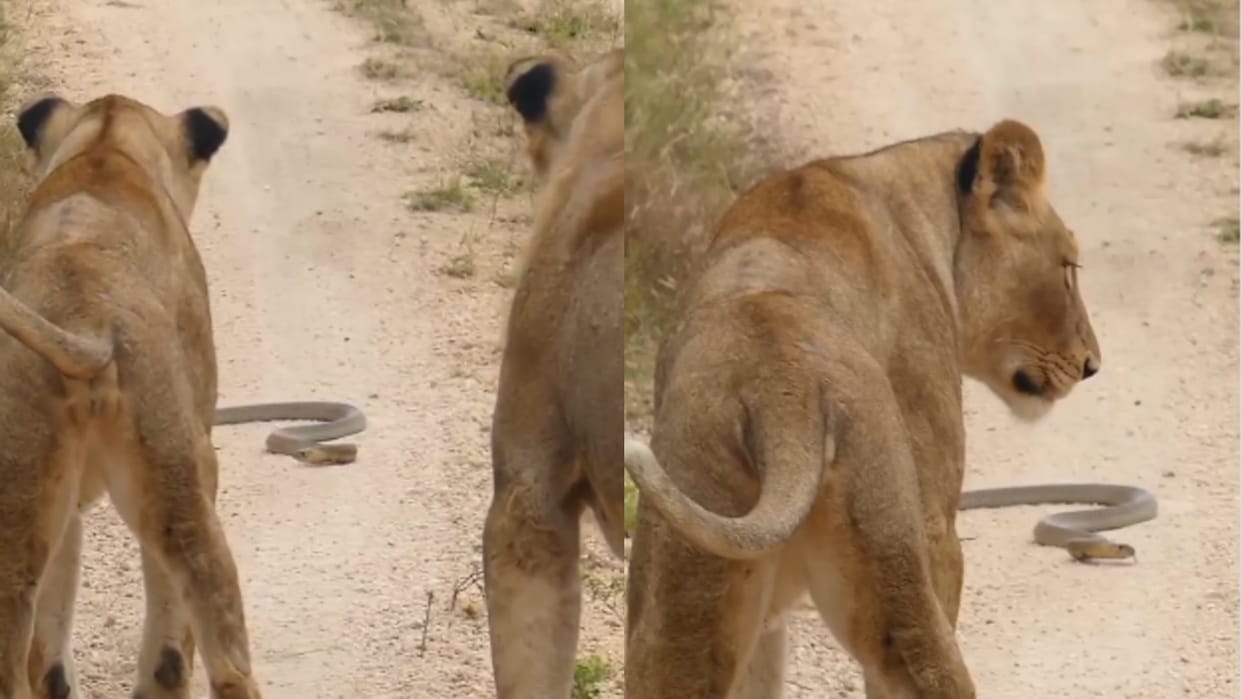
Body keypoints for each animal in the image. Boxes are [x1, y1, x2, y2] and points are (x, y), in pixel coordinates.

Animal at [623, 121, 1105, 698]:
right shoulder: (936, 518)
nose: (1092, 364)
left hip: (684, 577)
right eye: (1068, 267)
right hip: (894, 539)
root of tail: (782, 383)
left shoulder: (763, 621)